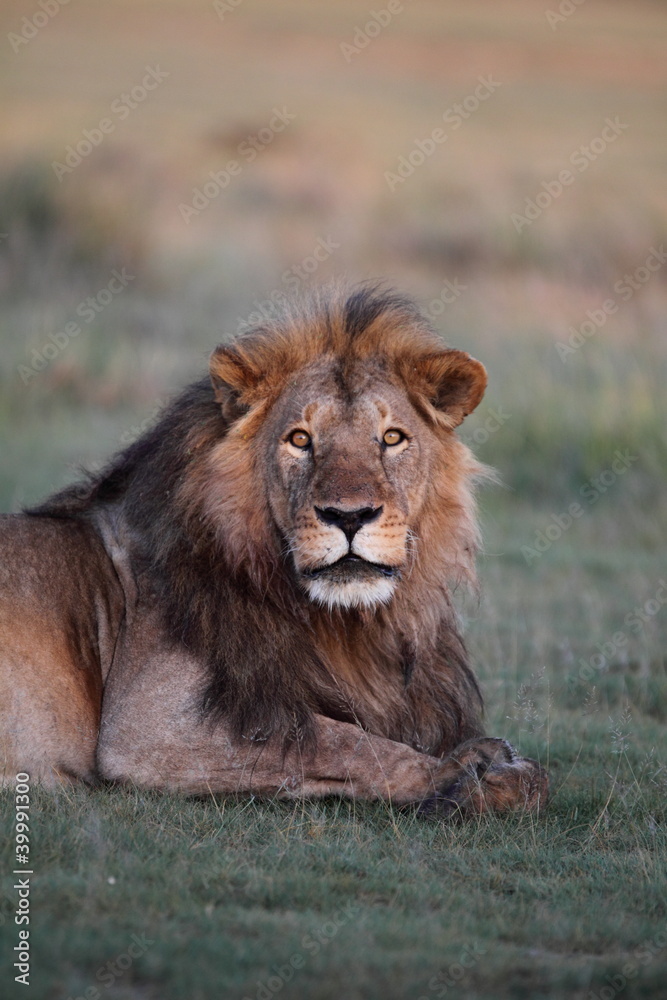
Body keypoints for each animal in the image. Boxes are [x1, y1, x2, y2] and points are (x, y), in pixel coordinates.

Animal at [0, 286, 548, 816]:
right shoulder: (146, 726)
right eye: (300, 439)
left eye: (392, 438)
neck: (351, 628)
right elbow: (340, 742)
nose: (350, 516)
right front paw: (468, 776)